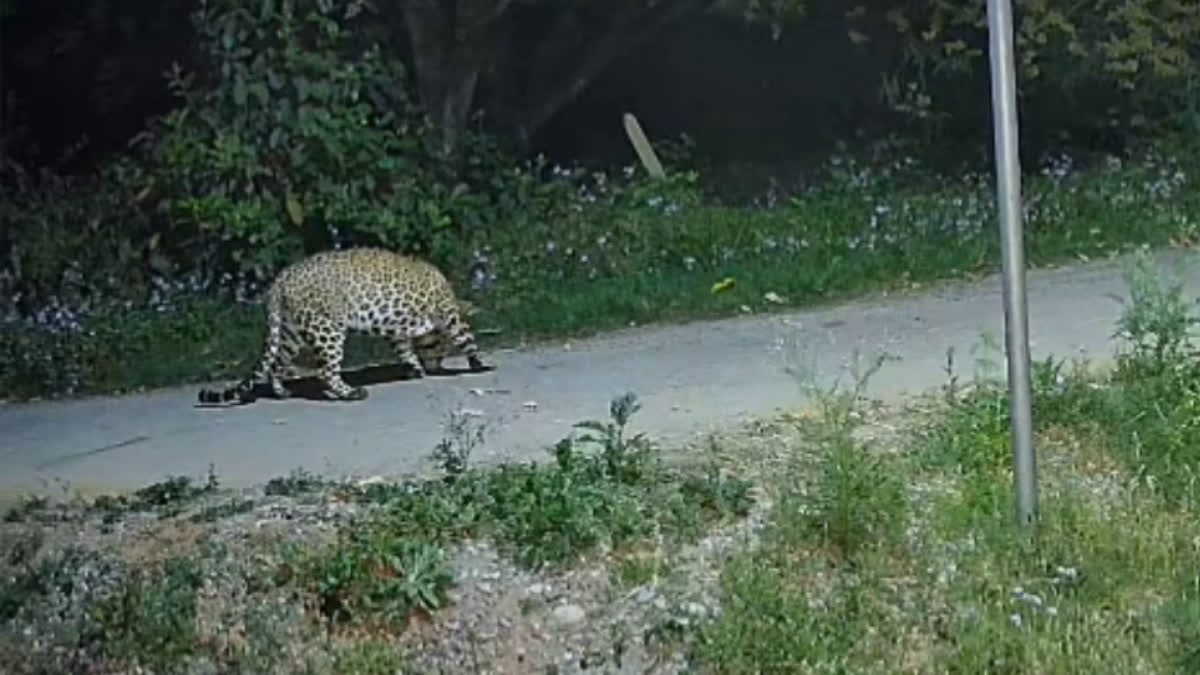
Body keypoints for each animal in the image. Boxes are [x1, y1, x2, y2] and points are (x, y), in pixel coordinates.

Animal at [197, 247, 489, 405]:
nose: (434, 366)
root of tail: (280, 280)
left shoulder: (398, 333)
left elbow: (405, 351)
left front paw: (416, 369)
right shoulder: (449, 314)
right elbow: (467, 339)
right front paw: (480, 365)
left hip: (291, 332)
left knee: (278, 363)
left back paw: (283, 392)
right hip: (327, 329)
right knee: (326, 371)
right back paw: (351, 393)